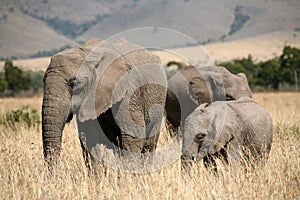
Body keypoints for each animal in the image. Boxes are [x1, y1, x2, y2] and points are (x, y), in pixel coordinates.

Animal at [42, 38, 168, 170]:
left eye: (74, 83)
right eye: (43, 81)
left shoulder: (128, 92)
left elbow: (132, 136)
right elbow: (89, 137)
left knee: (149, 144)